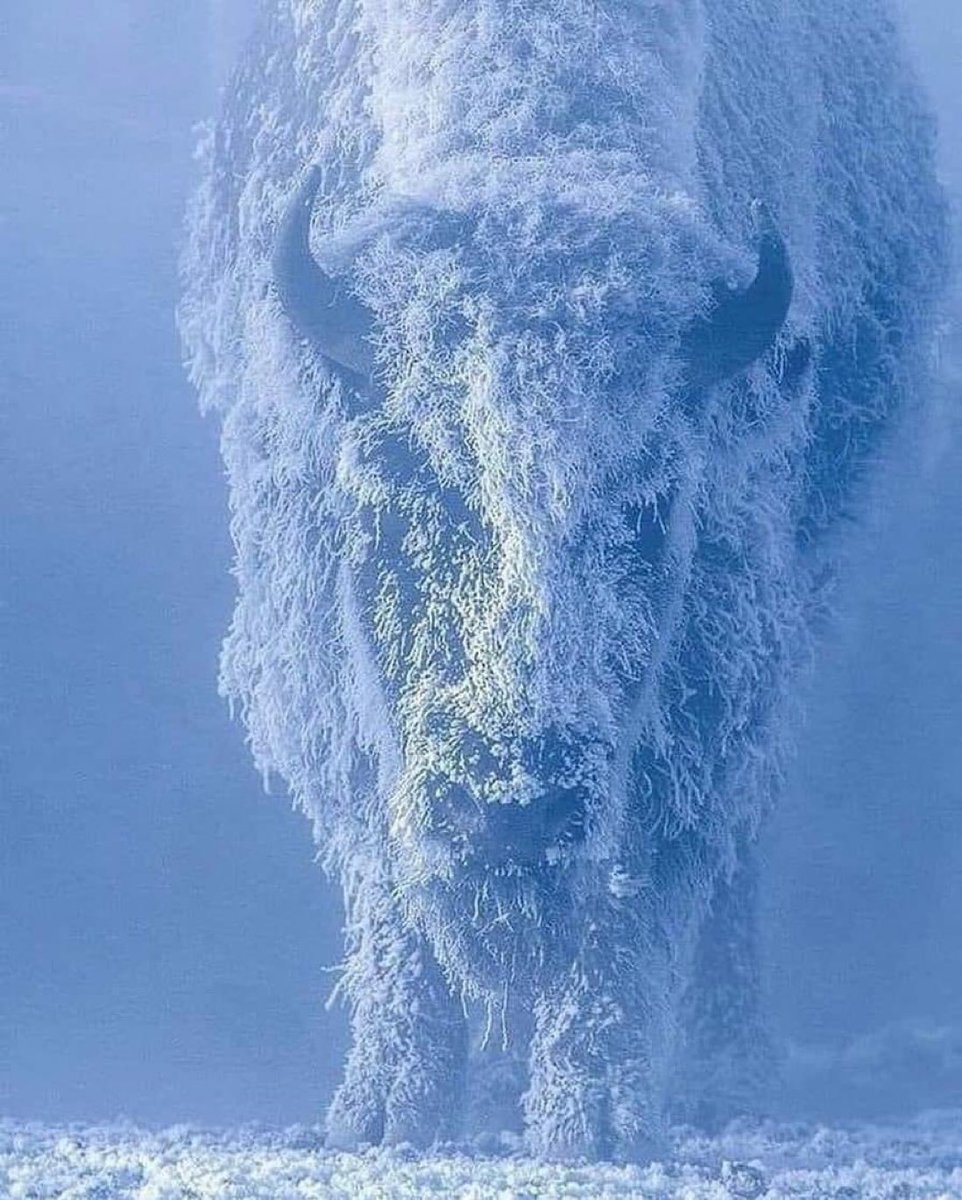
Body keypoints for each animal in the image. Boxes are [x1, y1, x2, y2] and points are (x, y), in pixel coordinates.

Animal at [179, 0, 945, 1161]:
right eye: (397, 479)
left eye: (649, 504)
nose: (511, 806)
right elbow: (390, 868)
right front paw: (387, 1113)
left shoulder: (705, 647)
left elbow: (639, 874)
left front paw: (597, 1121)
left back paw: (720, 1081)